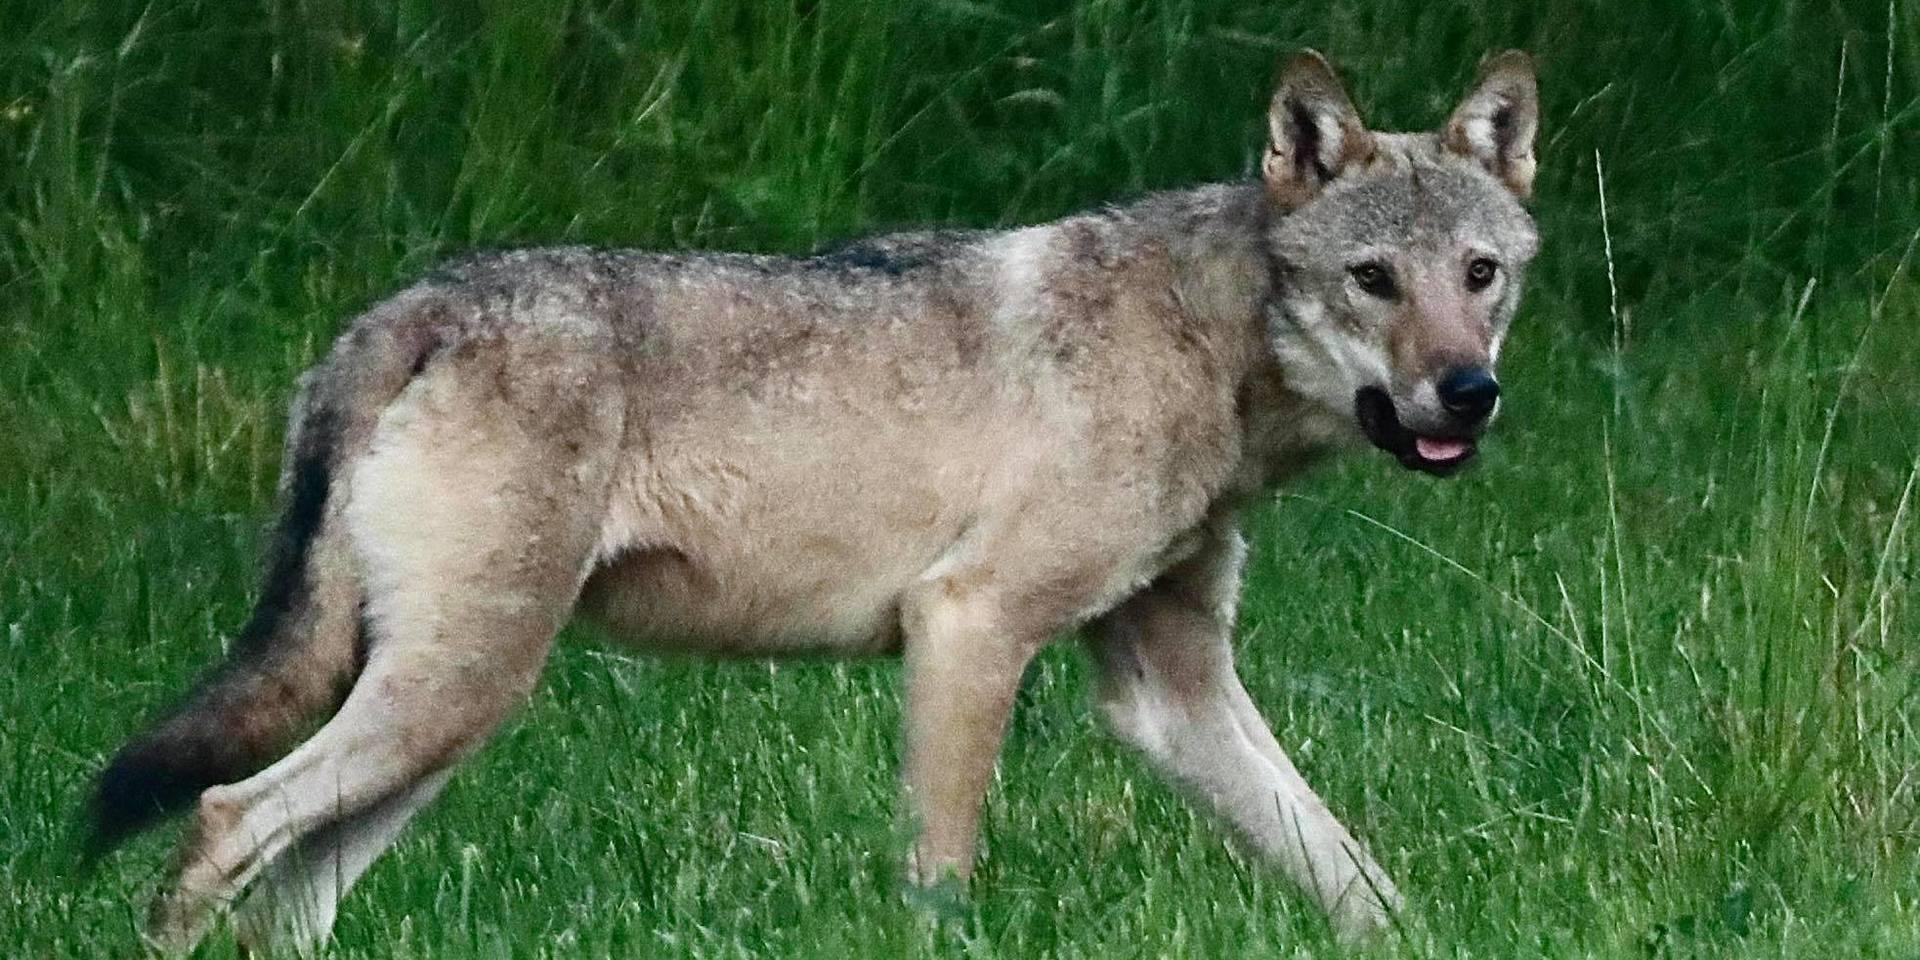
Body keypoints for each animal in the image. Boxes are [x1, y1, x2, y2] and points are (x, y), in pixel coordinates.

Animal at [86, 50, 1543, 952]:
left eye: (1480, 274)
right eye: (1372, 280)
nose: (1468, 393)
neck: (1208, 347)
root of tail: (405, 310)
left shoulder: (1167, 689)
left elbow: (1359, 881)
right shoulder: (969, 626)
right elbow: (940, 882)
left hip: (447, 716)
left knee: (284, 897)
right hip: (449, 695)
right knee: (220, 822)